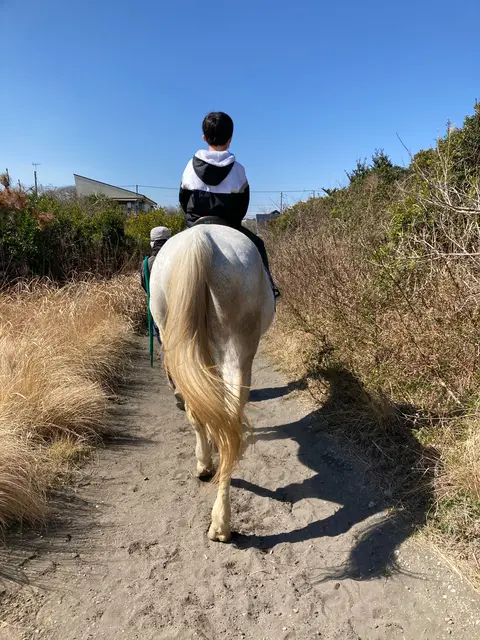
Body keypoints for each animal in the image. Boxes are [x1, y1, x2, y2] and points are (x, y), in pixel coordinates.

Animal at [148, 223, 275, 542]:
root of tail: (200, 240)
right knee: (229, 418)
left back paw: (208, 476)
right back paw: (221, 518)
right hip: (237, 348)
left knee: (202, 412)